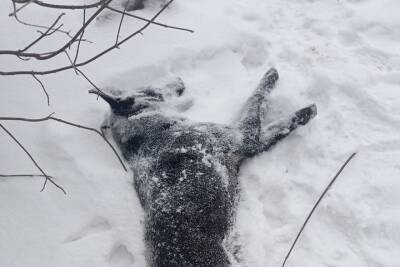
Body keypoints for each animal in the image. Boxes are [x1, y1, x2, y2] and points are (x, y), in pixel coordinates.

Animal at [90, 68, 316, 266]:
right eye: (152, 91)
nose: (179, 79)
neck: (151, 131)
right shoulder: (244, 138)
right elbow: (260, 102)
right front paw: (296, 99)